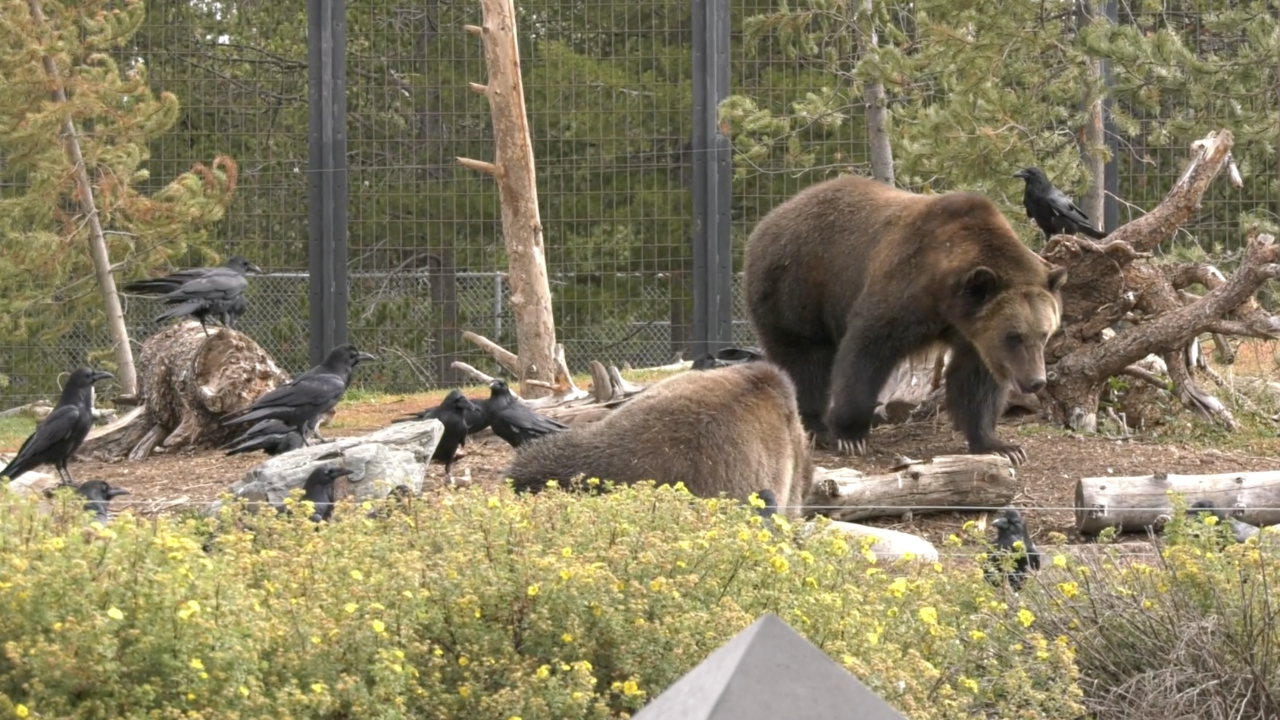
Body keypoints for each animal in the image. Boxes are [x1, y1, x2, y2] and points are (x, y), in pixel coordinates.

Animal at [742, 174, 1068, 465]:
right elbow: (866, 351)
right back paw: (814, 426)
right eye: (1014, 336)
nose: (1036, 381)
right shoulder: (906, 290)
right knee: (804, 357)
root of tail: (770, 218)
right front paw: (850, 433)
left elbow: (975, 383)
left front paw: (1000, 445)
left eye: (1043, 334)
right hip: (795, 284)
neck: (948, 299)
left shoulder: (972, 333)